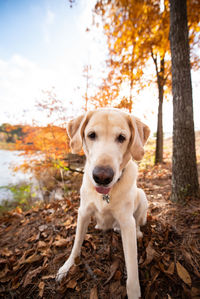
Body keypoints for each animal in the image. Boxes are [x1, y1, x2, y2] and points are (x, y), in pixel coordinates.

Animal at [56, 109, 150, 299]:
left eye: (122, 137)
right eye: (91, 135)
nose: (102, 176)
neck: (106, 194)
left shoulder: (126, 222)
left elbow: (132, 264)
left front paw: (134, 291)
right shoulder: (83, 213)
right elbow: (76, 244)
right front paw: (67, 266)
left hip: (142, 196)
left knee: (138, 222)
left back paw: (136, 232)